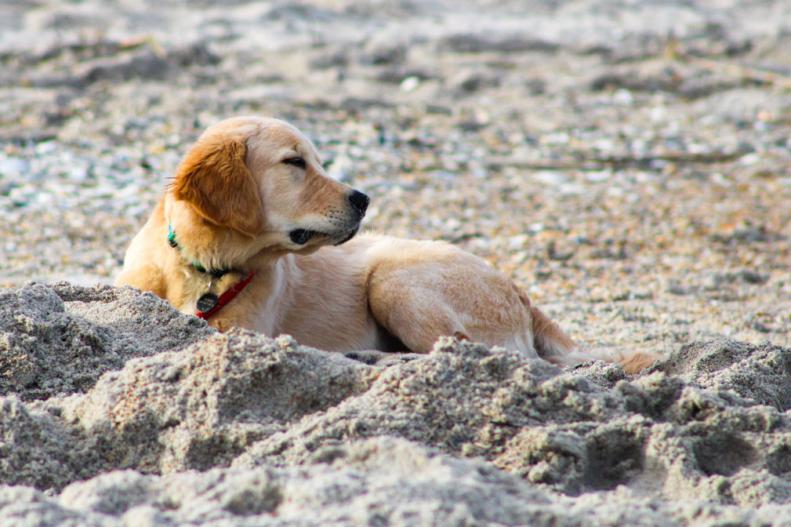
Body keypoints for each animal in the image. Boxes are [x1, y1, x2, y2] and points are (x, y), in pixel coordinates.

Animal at [117, 115, 660, 374]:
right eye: (295, 163)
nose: (363, 199)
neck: (201, 267)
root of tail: (519, 290)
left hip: (395, 279)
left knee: (459, 351)